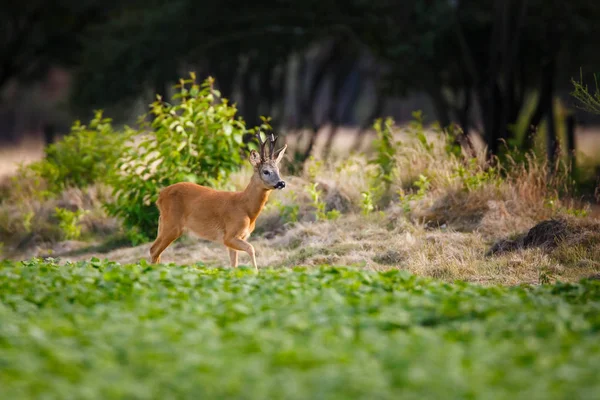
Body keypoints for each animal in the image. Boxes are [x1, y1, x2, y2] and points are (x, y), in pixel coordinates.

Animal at [152, 133, 288, 270]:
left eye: (278, 170)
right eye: (266, 171)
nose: (281, 183)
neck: (245, 207)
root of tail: (160, 196)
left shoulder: (237, 238)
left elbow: (234, 265)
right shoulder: (229, 235)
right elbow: (251, 248)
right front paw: (256, 272)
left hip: (163, 223)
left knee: (156, 252)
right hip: (172, 224)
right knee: (154, 250)